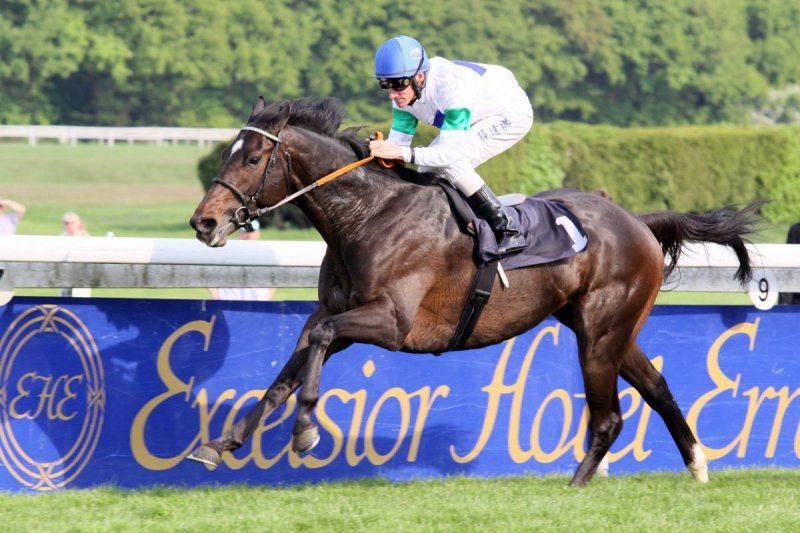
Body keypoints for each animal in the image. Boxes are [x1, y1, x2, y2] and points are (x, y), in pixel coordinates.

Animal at [188, 96, 760, 486]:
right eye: (227, 153)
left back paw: (575, 487)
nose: (203, 222)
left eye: (253, 157)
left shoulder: (391, 322)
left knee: (609, 417)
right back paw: (697, 466)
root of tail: (637, 222)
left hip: (600, 334)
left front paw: (305, 430)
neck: (369, 216)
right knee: (657, 387)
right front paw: (221, 444)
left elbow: (321, 342)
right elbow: (291, 367)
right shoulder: (334, 312)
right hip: (603, 326)